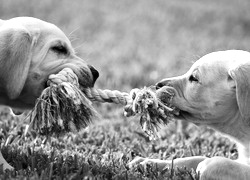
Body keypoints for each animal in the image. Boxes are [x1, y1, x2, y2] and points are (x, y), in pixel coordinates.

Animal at [129, 50, 250, 180]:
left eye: (194, 78)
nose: (158, 84)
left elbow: (218, 165)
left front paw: (209, 164)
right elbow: (192, 159)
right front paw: (149, 163)